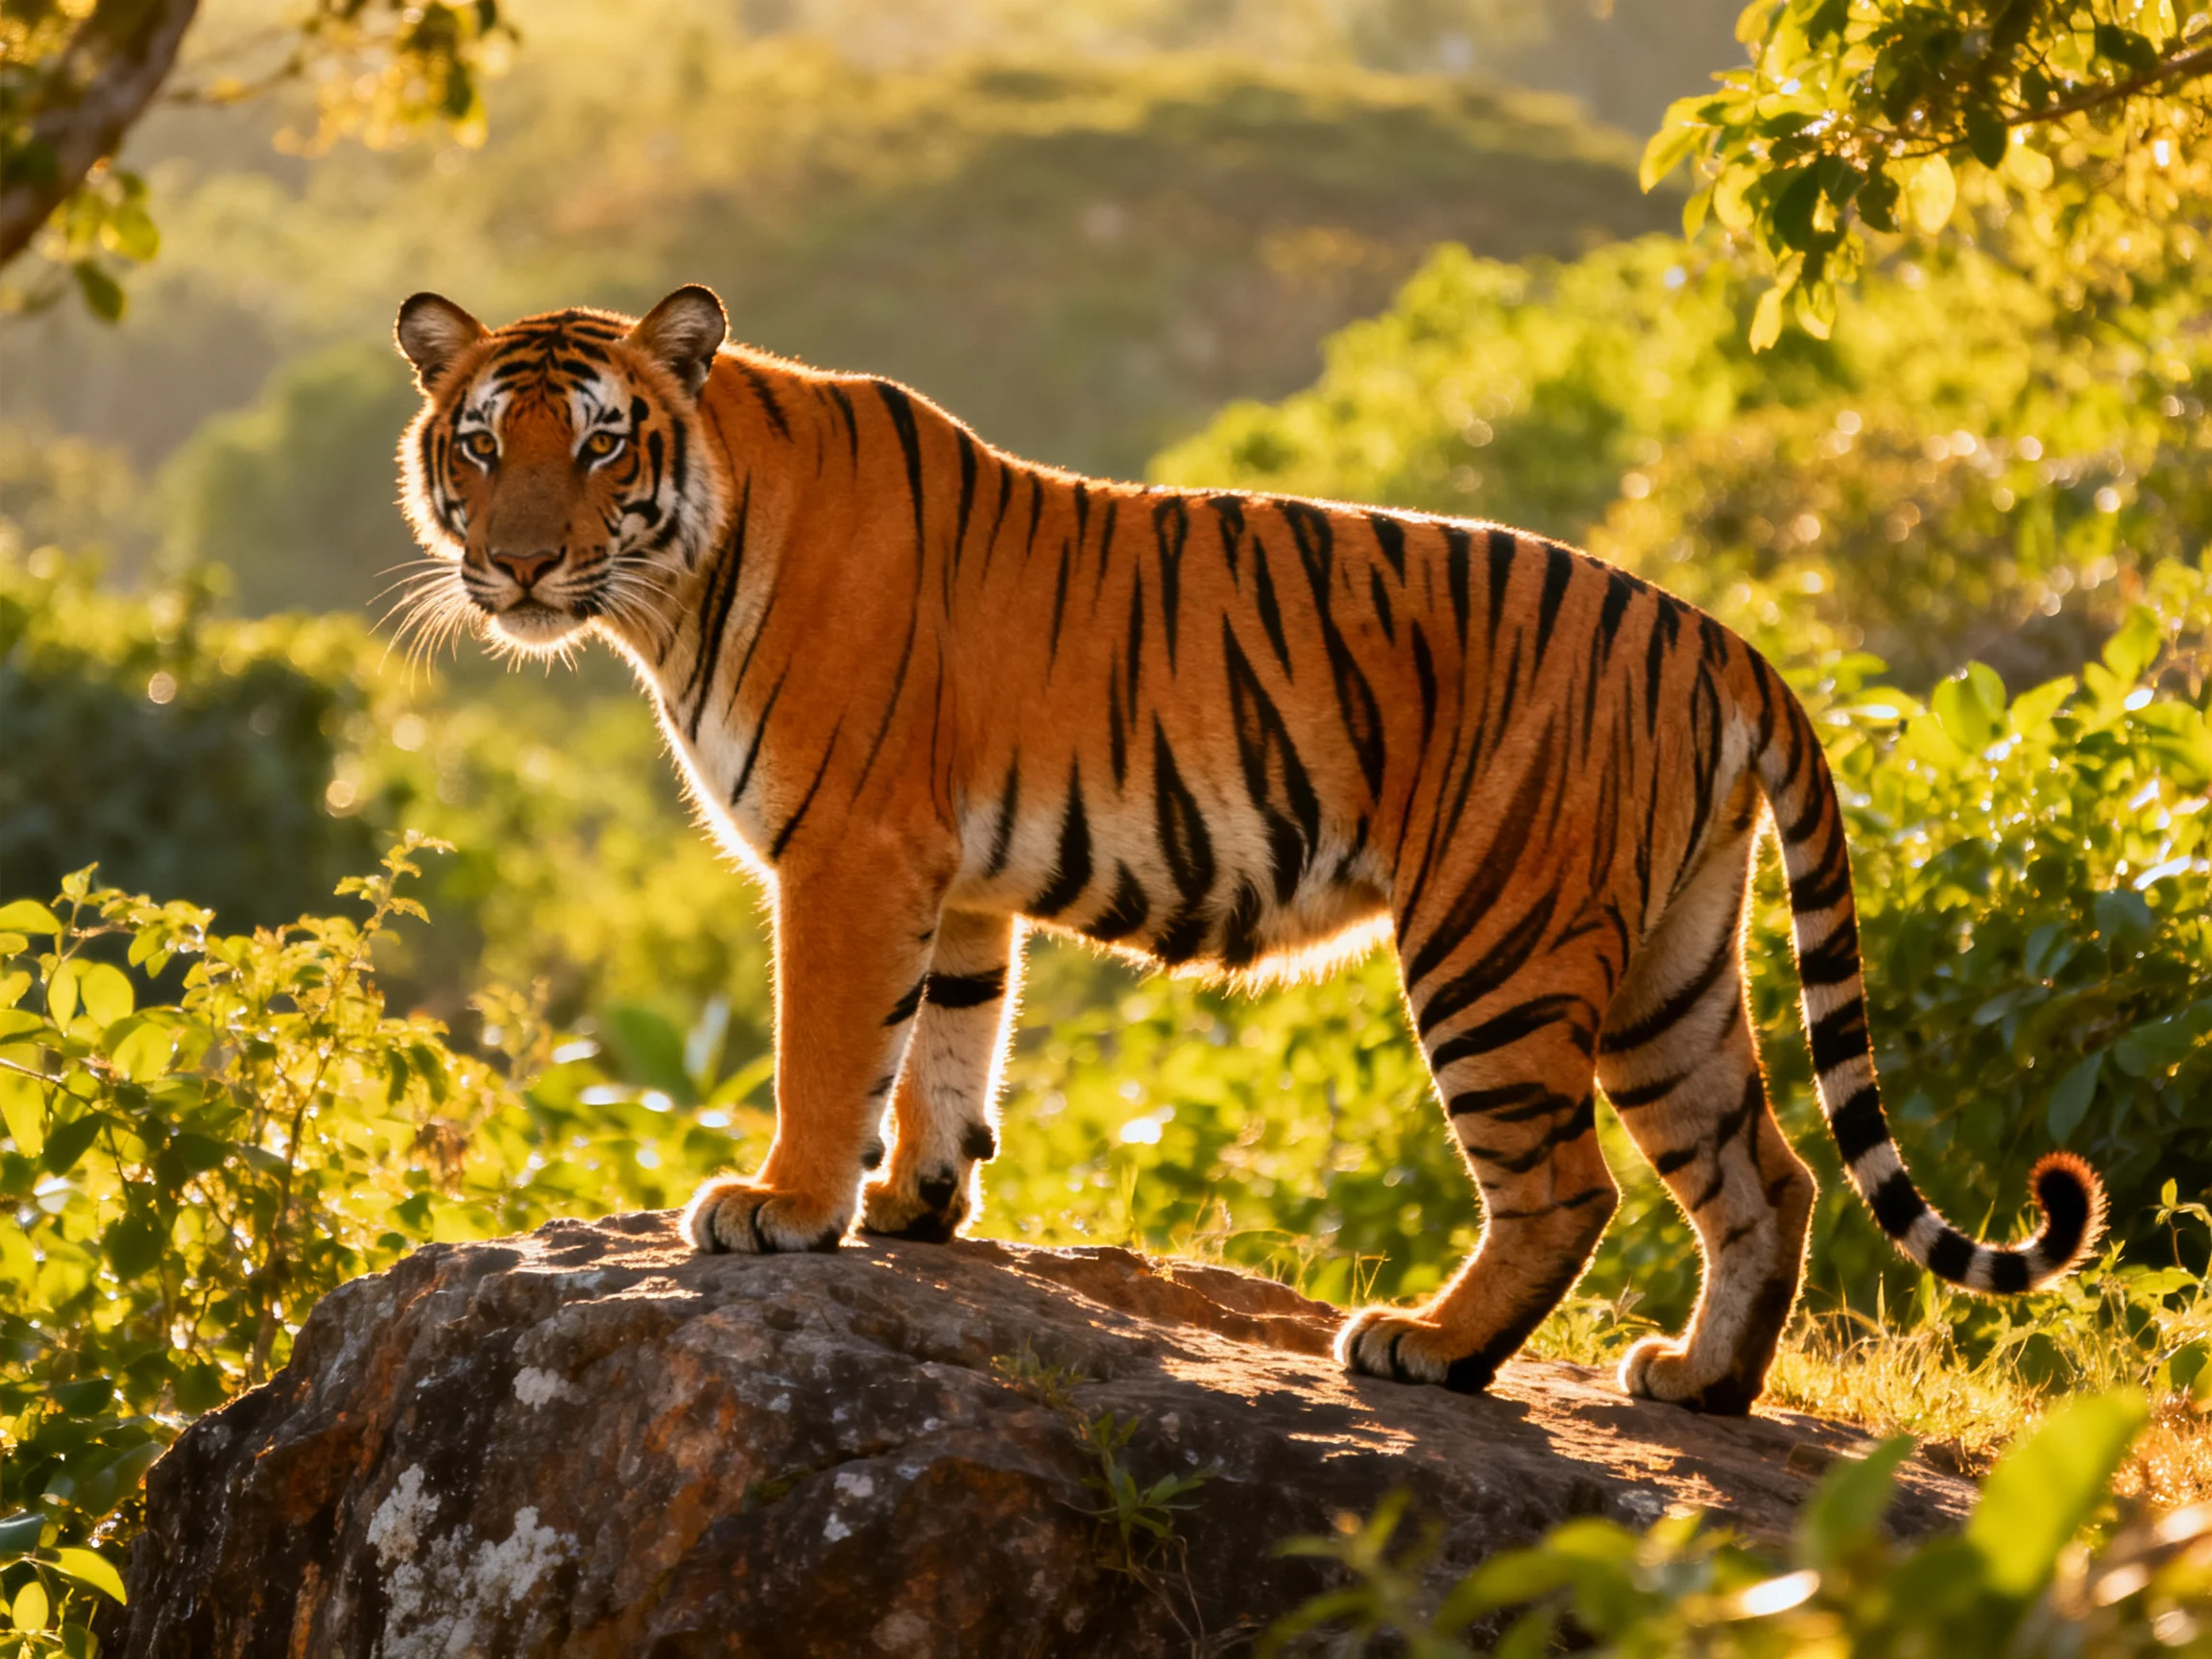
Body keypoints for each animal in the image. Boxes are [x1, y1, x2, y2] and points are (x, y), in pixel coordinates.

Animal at [393, 283, 2107, 1413]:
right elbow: (947, 1046)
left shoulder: (850, 855)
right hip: (1670, 970)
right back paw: (1696, 1382)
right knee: (1765, 1172)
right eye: (479, 447)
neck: (676, 577)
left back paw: (1427, 1347)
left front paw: (782, 1207)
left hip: (1496, 939)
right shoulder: (950, 881)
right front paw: (918, 1208)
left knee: (1568, 1188)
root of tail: (1722, 637)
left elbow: (830, 1053)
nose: (519, 564)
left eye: (600, 449)